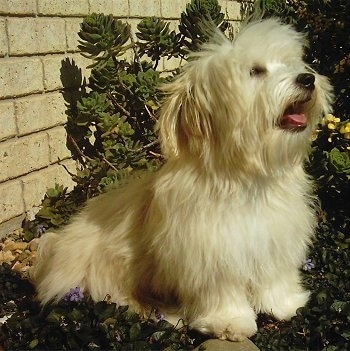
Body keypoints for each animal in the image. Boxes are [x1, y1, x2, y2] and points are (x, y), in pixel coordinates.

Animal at [31, 18, 332, 340]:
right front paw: (229, 322)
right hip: (104, 268)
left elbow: (275, 277)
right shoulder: (208, 254)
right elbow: (222, 291)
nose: (307, 79)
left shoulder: (274, 239)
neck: (243, 176)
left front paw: (284, 304)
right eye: (256, 71)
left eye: (289, 64)